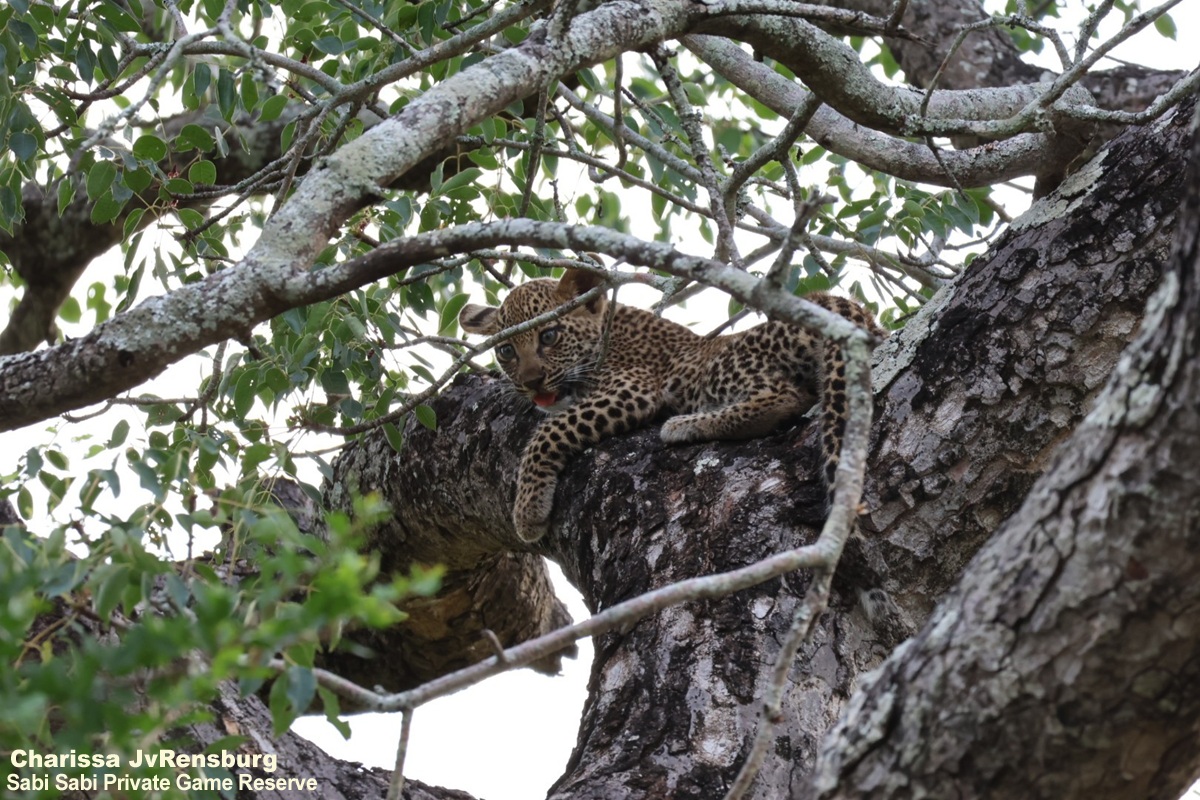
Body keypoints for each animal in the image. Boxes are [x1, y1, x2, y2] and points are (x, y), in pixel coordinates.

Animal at [459, 268, 885, 543]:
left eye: (549, 335)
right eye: (506, 350)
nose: (531, 382)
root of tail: (827, 302)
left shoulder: (632, 387)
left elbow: (549, 430)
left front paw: (528, 510)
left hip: (716, 367)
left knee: (784, 397)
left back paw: (684, 424)